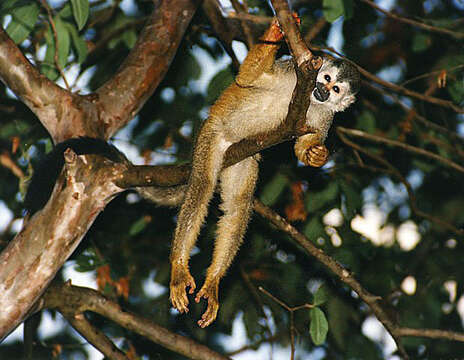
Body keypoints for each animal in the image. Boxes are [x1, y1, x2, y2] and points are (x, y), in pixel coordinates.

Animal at [170, 20, 362, 330]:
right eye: (325, 77)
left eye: (336, 89)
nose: (322, 89)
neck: (308, 99)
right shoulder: (292, 71)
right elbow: (248, 77)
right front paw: (276, 32)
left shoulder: (326, 118)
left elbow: (301, 147)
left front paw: (315, 156)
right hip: (212, 135)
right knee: (202, 186)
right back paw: (178, 268)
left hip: (242, 158)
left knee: (238, 204)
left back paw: (213, 280)